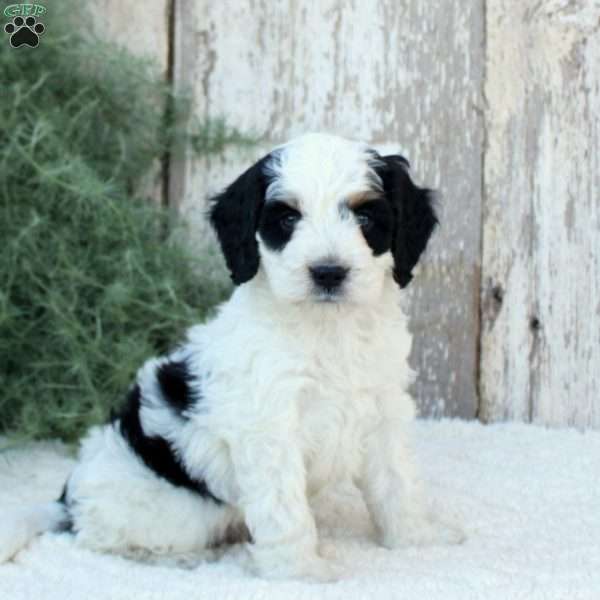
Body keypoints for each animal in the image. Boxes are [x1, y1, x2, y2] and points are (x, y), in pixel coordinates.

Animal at [1, 132, 460, 580]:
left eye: (365, 218)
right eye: (287, 219)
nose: (328, 272)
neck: (328, 328)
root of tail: (67, 499)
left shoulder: (383, 410)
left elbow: (398, 483)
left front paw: (417, 542)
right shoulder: (271, 430)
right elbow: (285, 511)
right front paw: (301, 573)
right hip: (173, 511)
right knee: (103, 539)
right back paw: (181, 561)